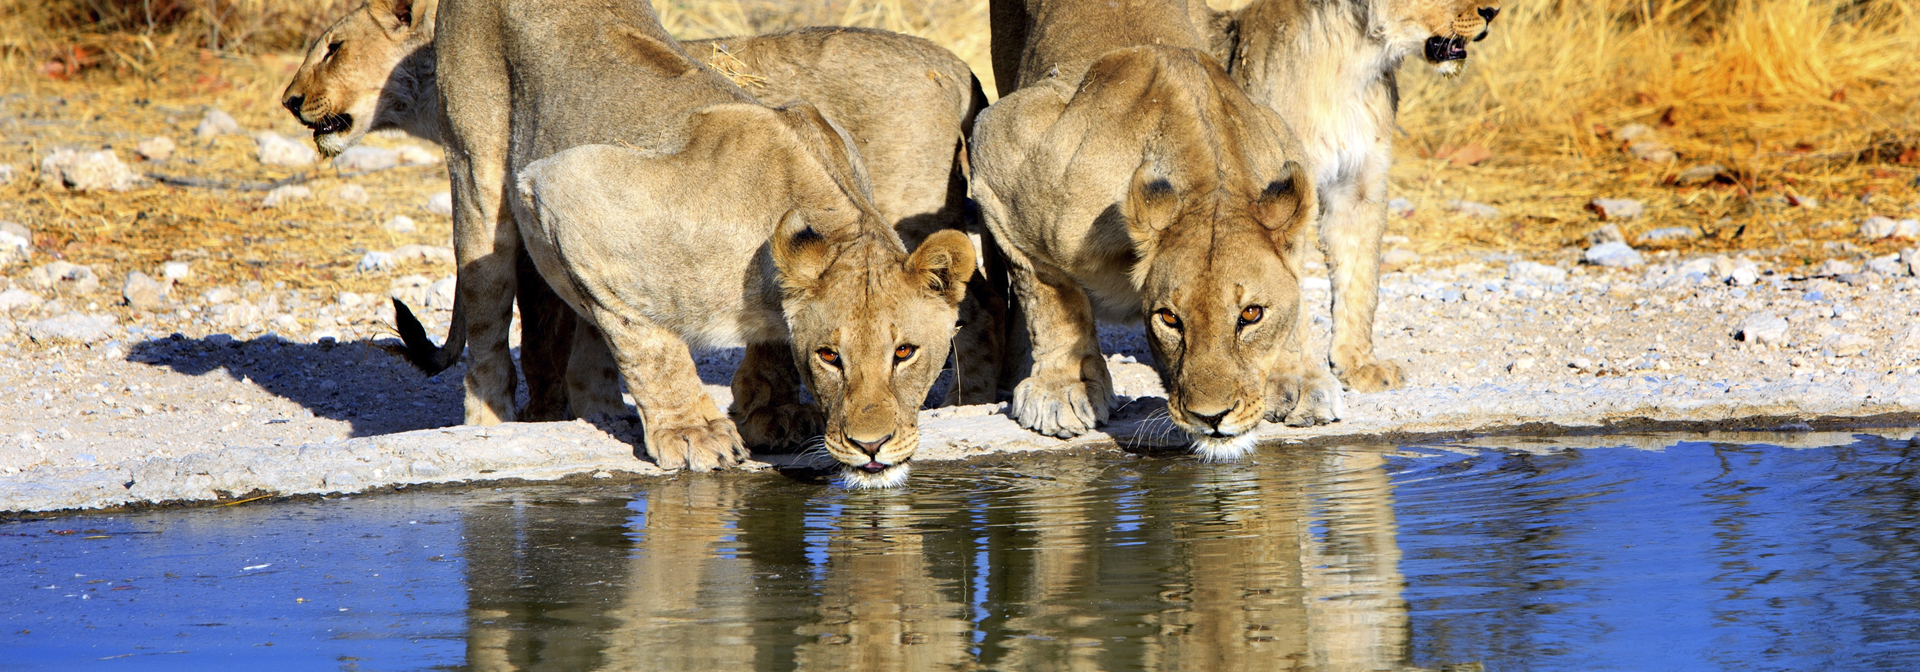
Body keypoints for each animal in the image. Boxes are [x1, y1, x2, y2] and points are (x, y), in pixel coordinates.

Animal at [975, 0, 1336, 458]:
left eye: (1251, 314)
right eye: (1169, 318)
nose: (1211, 418)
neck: (1207, 185)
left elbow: (1296, 302)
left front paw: (1297, 378)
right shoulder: (1000, 154)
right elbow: (1052, 298)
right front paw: (1063, 388)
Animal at [1205, 0, 1505, 391]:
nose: (1493, 11)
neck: (1354, 61)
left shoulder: (1358, 188)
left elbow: (1360, 281)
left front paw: (1359, 365)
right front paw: (1293, 378)